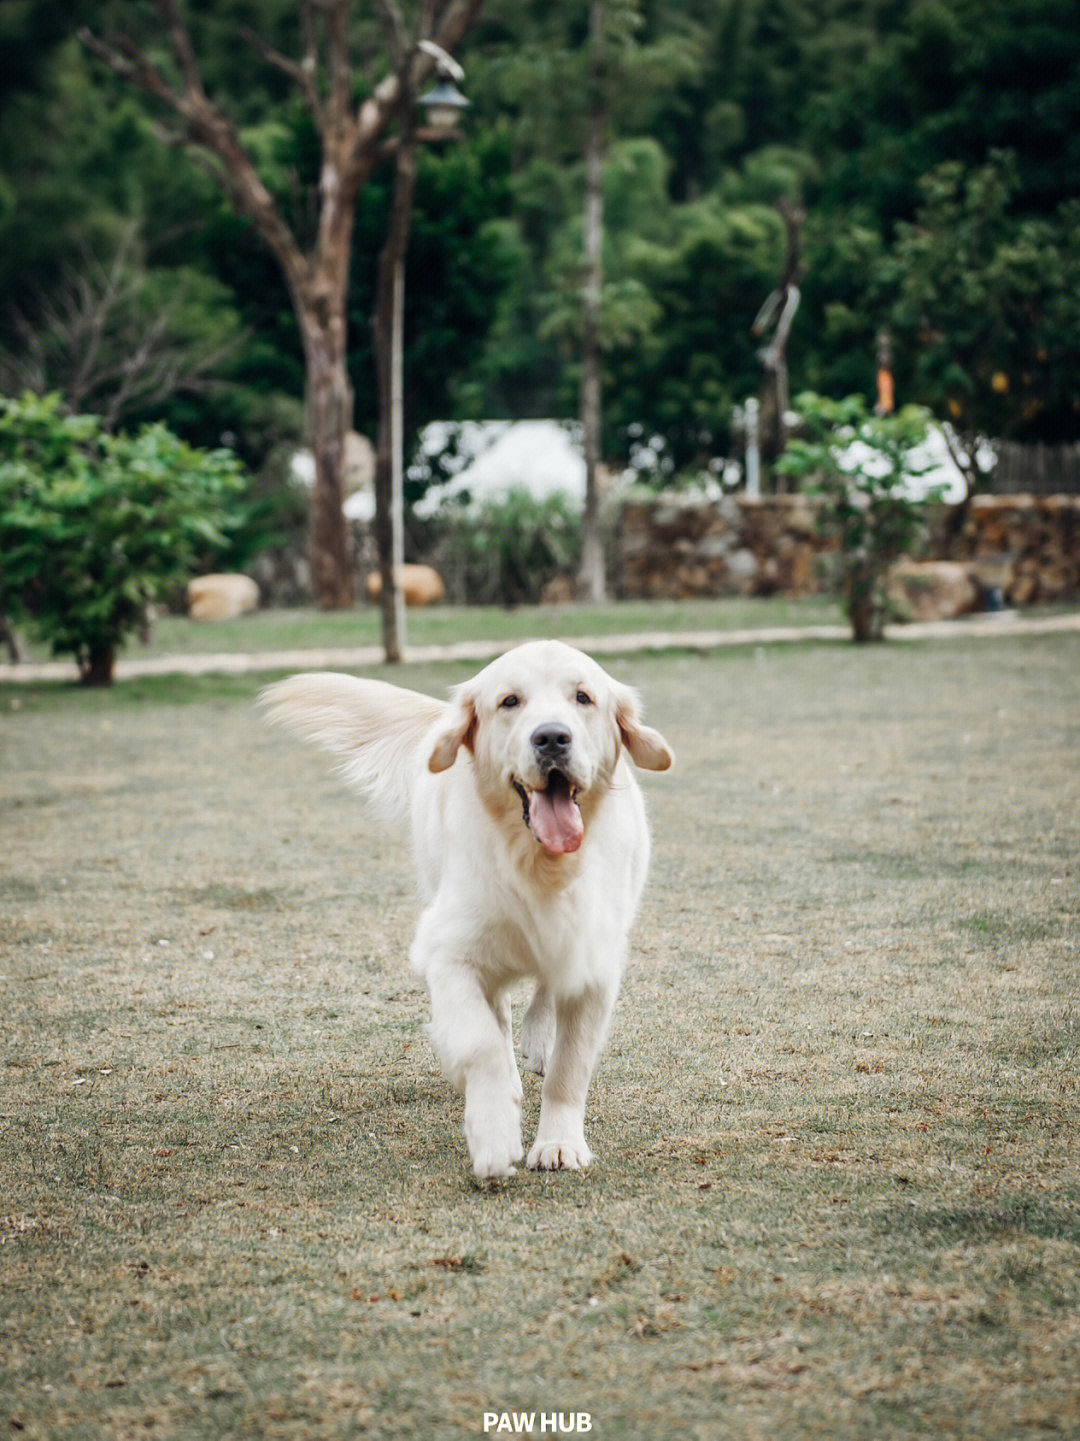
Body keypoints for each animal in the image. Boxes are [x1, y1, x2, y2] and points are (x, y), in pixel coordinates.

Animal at [260, 645, 666, 1181]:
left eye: (583, 697)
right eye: (509, 701)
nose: (552, 737)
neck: (538, 866)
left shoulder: (593, 960)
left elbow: (570, 1066)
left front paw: (558, 1142)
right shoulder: (449, 951)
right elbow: (482, 1043)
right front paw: (494, 1134)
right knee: (500, 1015)